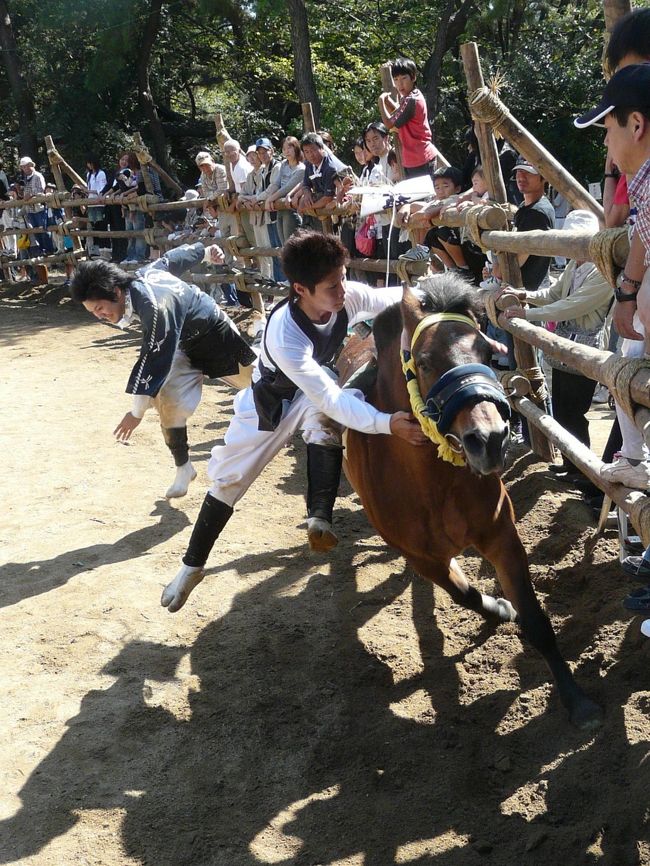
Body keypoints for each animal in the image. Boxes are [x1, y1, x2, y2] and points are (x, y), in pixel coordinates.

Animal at [342, 272, 600, 728]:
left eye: (486, 351)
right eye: (425, 360)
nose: (491, 438)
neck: (432, 484)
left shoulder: (500, 534)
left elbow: (536, 619)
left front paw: (576, 700)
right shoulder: (421, 557)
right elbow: (463, 592)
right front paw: (499, 607)